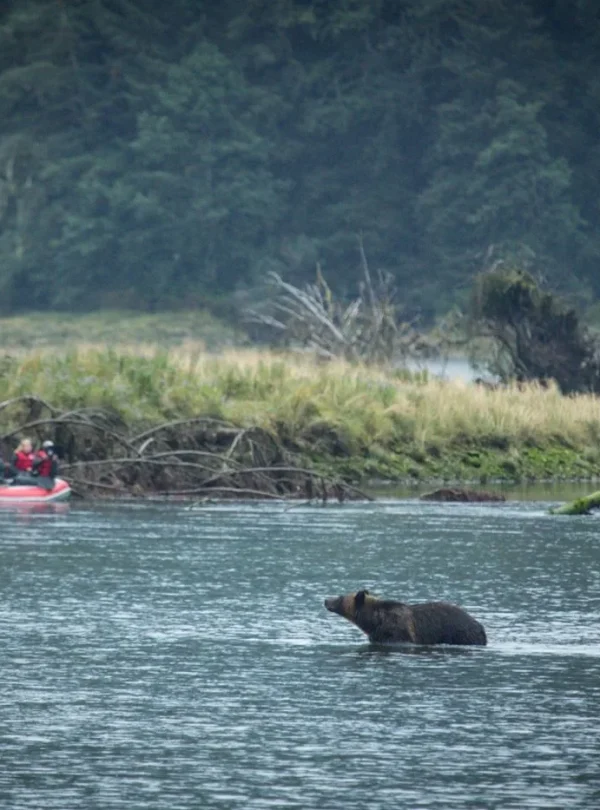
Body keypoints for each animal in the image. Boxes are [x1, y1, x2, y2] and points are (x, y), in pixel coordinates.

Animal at [324, 589, 487, 646]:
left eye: (339, 597)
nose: (326, 600)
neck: (374, 620)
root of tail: (481, 627)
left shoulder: (397, 630)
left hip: (461, 634)